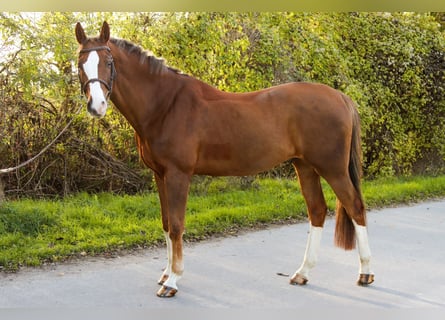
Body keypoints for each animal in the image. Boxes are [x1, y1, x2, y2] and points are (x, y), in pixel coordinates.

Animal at [74, 21, 372, 298]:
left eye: (109, 61)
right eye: (79, 64)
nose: (97, 106)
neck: (165, 105)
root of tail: (341, 97)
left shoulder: (178, 174)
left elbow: (177, 225)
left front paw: (172, 281)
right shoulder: (160, 174)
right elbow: (167, 223)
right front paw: (166, 274)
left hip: (332, 169)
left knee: (355, 207)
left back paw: (365, 273)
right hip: (305, 166)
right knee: (317, 211)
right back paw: (302, 273)